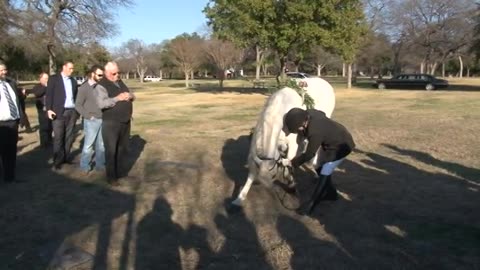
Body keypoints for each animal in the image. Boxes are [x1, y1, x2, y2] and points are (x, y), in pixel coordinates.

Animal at [232, 78, 336, 207]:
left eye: (274, 176)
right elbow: (251, 175)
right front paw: (239, 198)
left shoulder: (292, 145)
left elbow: (288, 165)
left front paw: (291, 185)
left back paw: (313, 167)